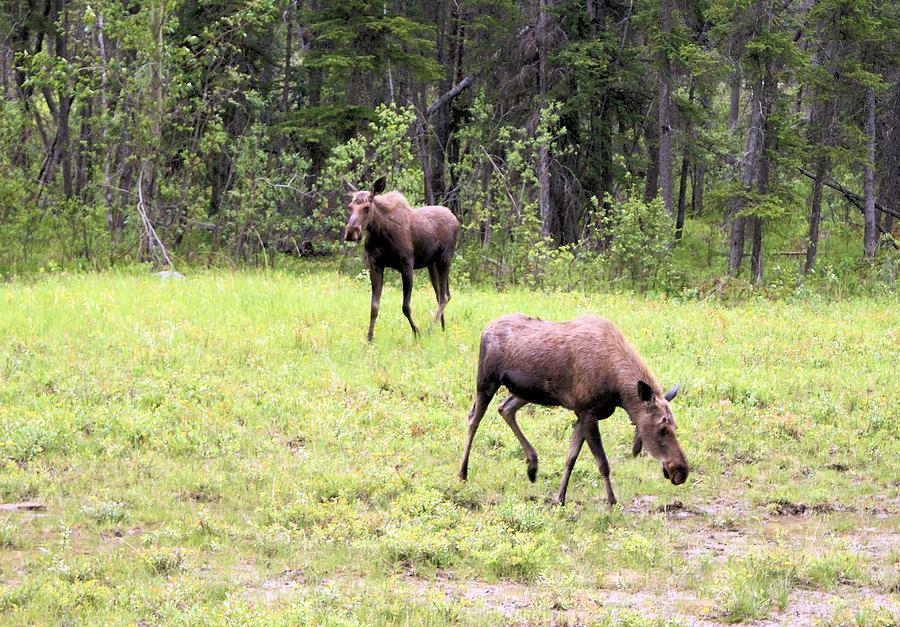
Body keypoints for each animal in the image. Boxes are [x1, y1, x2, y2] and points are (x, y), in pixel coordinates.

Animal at [342, 177, 460, 344]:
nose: (351, 232)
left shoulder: (407, 265)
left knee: (444, 297)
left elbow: (405, 306)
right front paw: (370, 338)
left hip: (445, 259)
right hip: (432, 264)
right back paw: (442, 329)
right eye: (350, 207)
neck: (380, 233)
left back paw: (430, 329)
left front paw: (416, 332)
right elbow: (374, 306)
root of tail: (456, 220)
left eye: (367, 207)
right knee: (442, 294)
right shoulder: (375, 265)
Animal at [458, 314, 688, 510]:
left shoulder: (581, 414)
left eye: (675, 426)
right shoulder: (587, 411)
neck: (618, 392)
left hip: (525, 391)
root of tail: (485, 329)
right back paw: (462, 472)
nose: (681, 470)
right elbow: (602, 462)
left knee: (505, 409)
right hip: (486, 380)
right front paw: (611, 502)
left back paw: (532, 466)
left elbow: (571, 458)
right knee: (474, 418)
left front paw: (559, 498)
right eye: (662, 429)